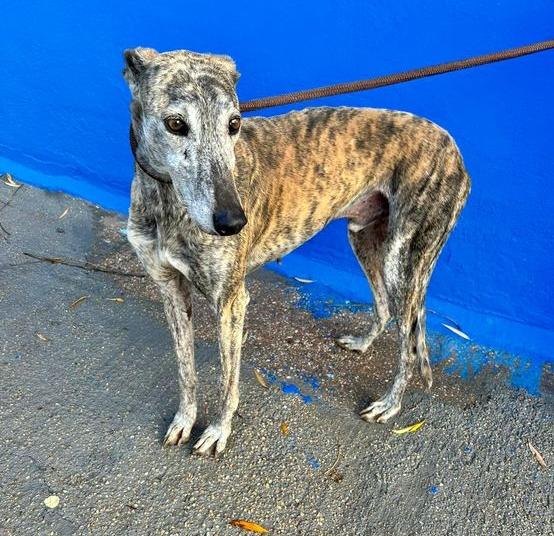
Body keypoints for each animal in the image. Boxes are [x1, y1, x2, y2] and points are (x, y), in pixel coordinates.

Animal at [123, 47, 470, 456]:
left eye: (234, 123)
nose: (232, 222)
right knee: (384, 307)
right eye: (175, 123)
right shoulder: (170, 289)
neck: (167, 202)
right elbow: (185, 369)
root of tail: (452, 147)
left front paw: (218, 431)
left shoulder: (231, 301)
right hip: (364, 237)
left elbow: (227, 381)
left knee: (409, 343)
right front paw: (184, 420)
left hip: (404, 262)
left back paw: (390, 404)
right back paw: (362, 343)